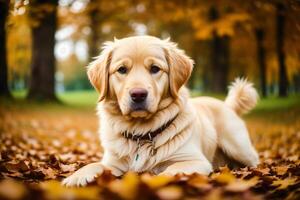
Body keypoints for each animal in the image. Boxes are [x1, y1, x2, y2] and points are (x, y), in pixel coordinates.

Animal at [62, 35, 258, 187]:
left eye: (155, 68)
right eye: (122, 70)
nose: (138, 94)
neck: (141, 133)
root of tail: (226, 104)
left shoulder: (195, 160)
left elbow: (171, 170)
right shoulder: (113, 163)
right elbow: (95, 165)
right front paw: (77, 176)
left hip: (238, 147)